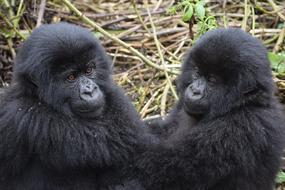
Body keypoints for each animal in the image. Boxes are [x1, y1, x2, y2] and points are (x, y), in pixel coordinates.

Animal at [135, 28, 284, 190]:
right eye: (197, 72)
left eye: (212, 80)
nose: (194, 90)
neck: (242, 104)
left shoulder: (239, 128)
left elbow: (156, 169)